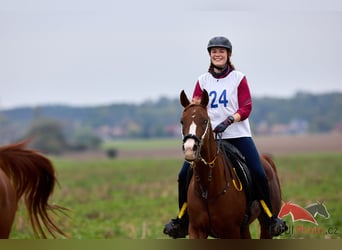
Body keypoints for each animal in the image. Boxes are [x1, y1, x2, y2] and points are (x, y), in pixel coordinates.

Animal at [180, 90, 282, 238]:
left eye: (205, 121)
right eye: (182, 121)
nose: (189, 149)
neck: (208, 188)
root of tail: (266, 159)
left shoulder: (230, 231)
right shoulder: (196, 230)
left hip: (264, 226)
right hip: (244, 228)